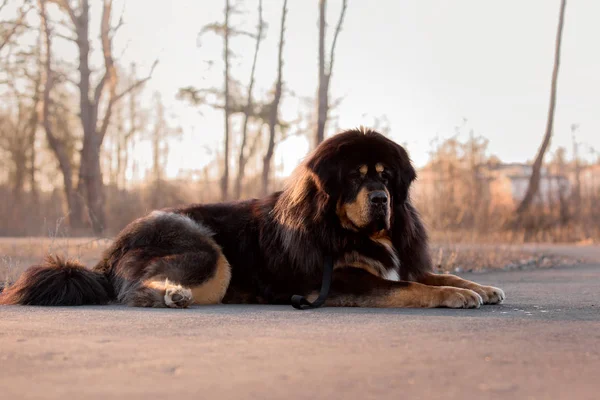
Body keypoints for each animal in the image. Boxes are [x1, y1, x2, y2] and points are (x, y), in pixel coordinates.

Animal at [0, 126, 504, 308]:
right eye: (356, 178)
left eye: (386, 176)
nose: (380, 199)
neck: (341, 226)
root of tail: (112, 247)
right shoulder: (341, 280)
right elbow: (410, 287)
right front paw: (455, 297)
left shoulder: (402, 261)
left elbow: (435, 274)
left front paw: (480, 287)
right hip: (206, 249)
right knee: (132, 290)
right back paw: (172, 295)